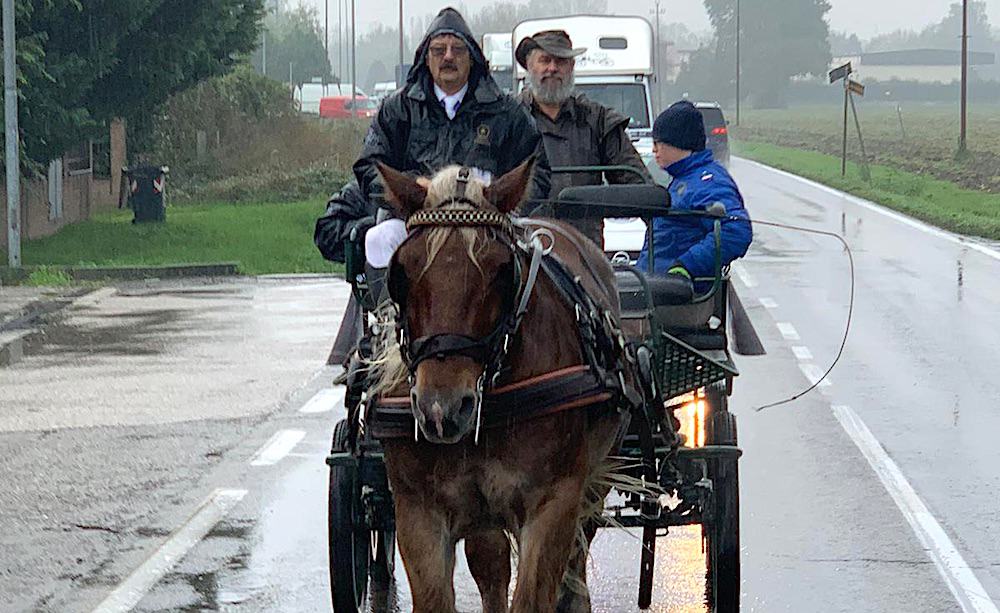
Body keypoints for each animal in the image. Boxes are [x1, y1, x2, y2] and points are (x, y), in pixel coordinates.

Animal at [372, 159, 636, 612]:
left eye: (500, 271)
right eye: (400, 272)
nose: (442, 409)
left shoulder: (554, 504)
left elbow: (535, 594)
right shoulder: (417, 512)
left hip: (595, 480)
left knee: (577, 552)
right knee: (491, 565)